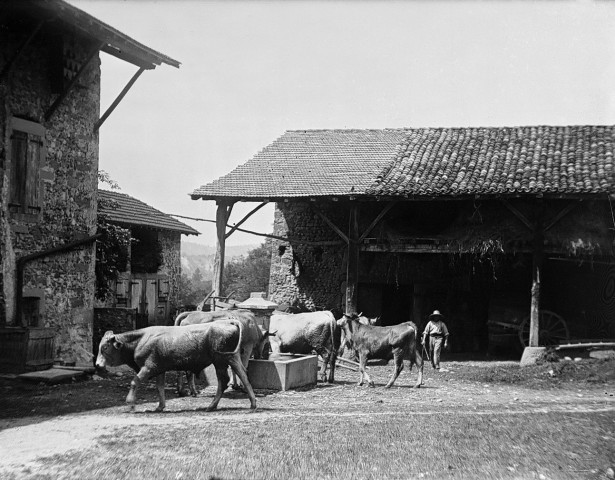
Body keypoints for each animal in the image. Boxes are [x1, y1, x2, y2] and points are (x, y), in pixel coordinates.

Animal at [94, 320, 258, 410]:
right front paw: (160, 406)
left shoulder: (148, 368)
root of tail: (228, 322)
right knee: (244, 376)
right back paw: (252, 403)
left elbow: (135, 381)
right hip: (232, 359)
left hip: (220, 361)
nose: (97, 365)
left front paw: (131, 404)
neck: (140, 340)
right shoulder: (159, 369)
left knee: (223, 381)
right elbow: (160, 387)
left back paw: (211, 406)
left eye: (105, 347)